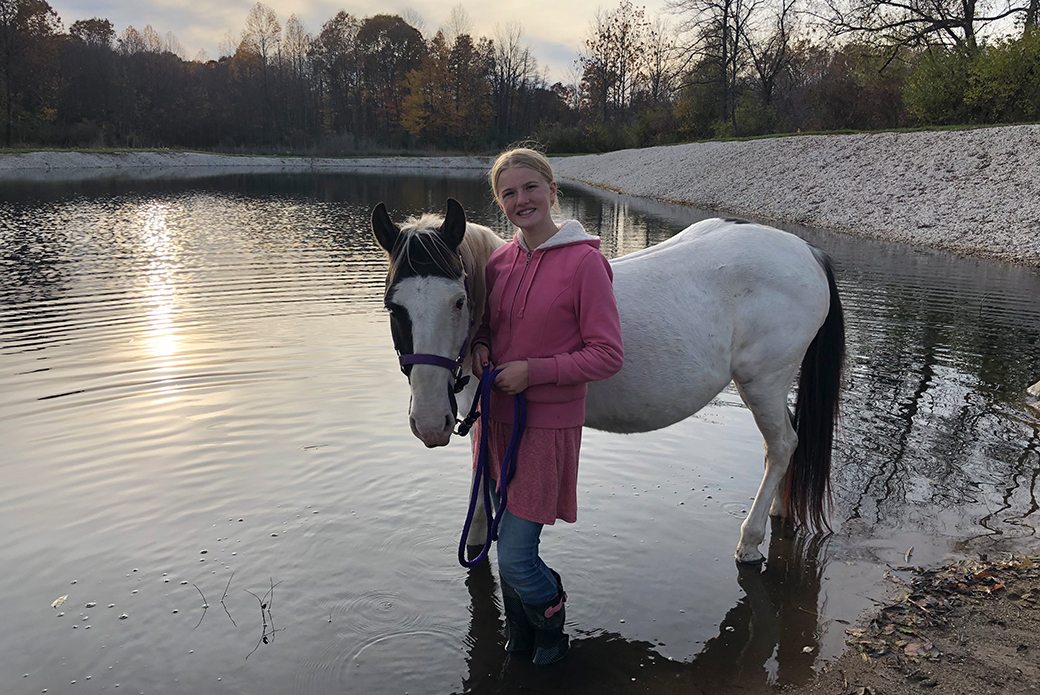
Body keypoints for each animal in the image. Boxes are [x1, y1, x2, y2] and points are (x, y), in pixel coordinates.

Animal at [374, 196, 844, 565]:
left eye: (458, 301)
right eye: (393, 306)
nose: (430, 421)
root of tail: (808, 251)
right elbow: (480, 479)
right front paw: (474, 538)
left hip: (763, 382)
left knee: (781, 445)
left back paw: (749, 540)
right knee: (786, 443)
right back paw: (779, 510)